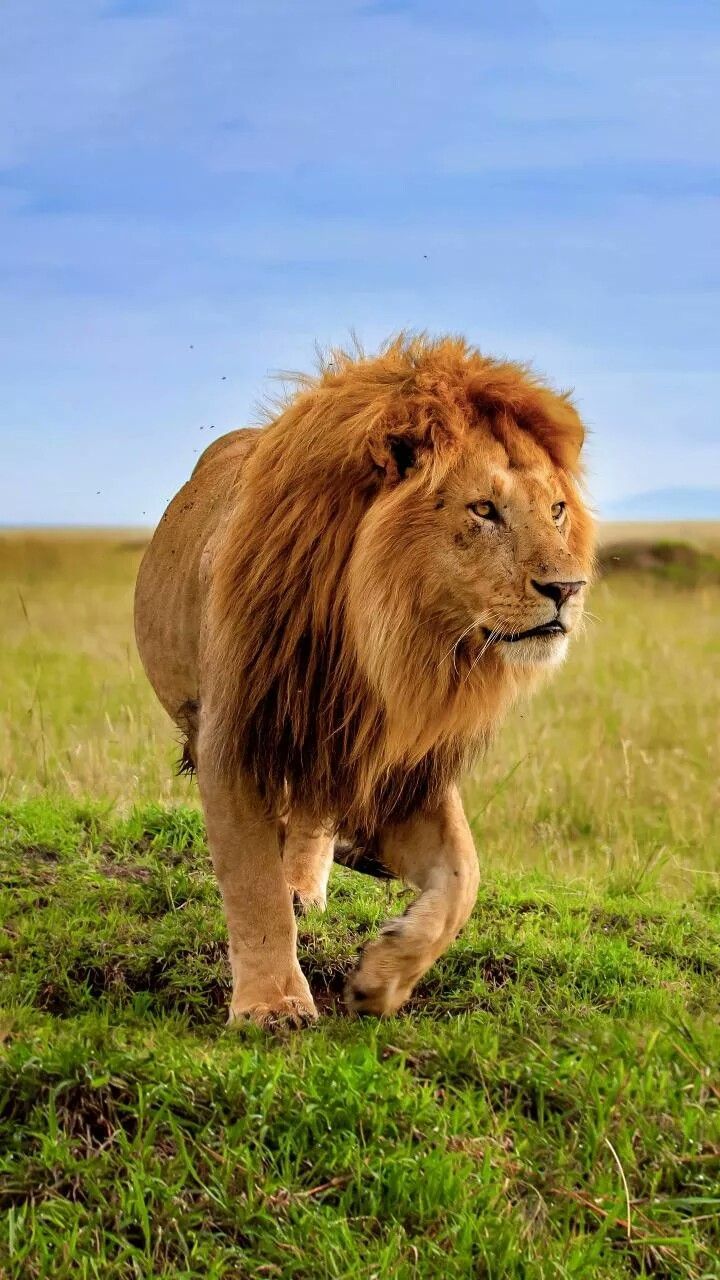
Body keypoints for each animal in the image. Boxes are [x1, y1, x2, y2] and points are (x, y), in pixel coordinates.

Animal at [134, 334, 594, 1028]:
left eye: (558, 511)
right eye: (484, 509)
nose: (567, 589)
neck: (383, 645)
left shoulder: (403, 763)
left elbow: (464, 876)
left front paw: (382, 977)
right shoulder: (237, 738)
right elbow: (252, 885)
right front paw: (273, 1007)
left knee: (315, 818)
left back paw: (318, 878)